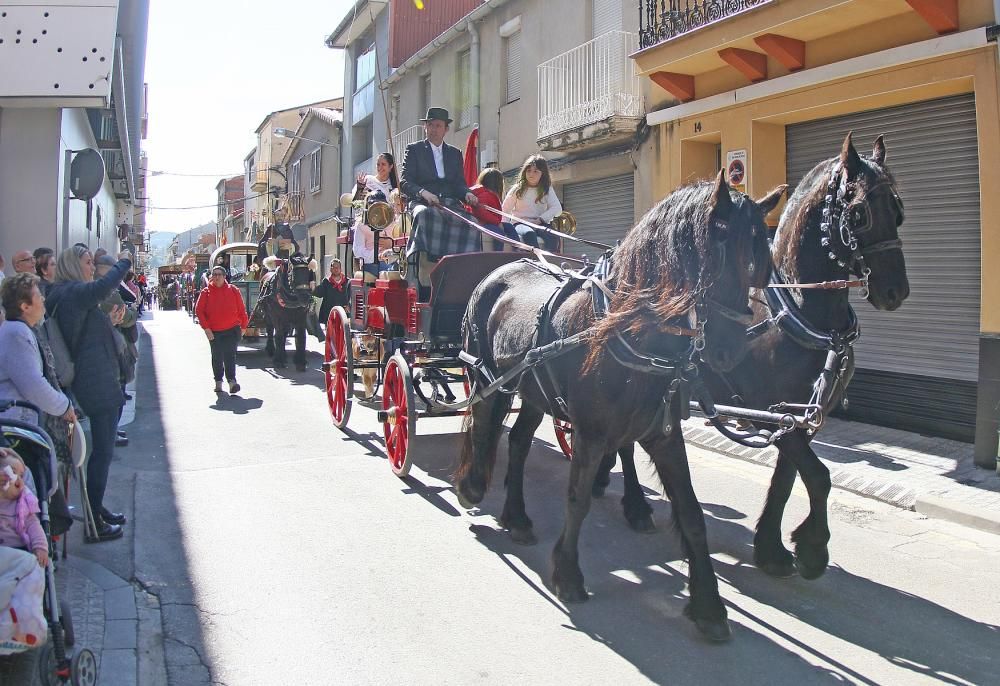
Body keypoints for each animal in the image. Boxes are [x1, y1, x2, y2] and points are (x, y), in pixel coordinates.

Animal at [454, 175, 780, 644]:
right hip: (485, 377)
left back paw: (516, 517)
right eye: (715, 260)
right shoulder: (590, 433)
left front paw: (709, 606)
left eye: (759, 264)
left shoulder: (663, 434)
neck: (629, 327)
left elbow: (692, 513)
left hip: (534, 391)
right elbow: (576, 499)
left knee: (517, 442)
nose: (730, 352)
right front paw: (568, 574)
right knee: (484, 426)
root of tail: (495, 273)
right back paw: (472, 487)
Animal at [596, 133, 912, 580]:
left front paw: (772, 547)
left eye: (898, 210)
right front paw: (813, 549)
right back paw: (635, 504)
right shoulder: (766, 406)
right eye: (859, 212)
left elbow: (788, 477)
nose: (894, 290)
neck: (800, 310)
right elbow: (819, 476)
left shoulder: (798, 416)